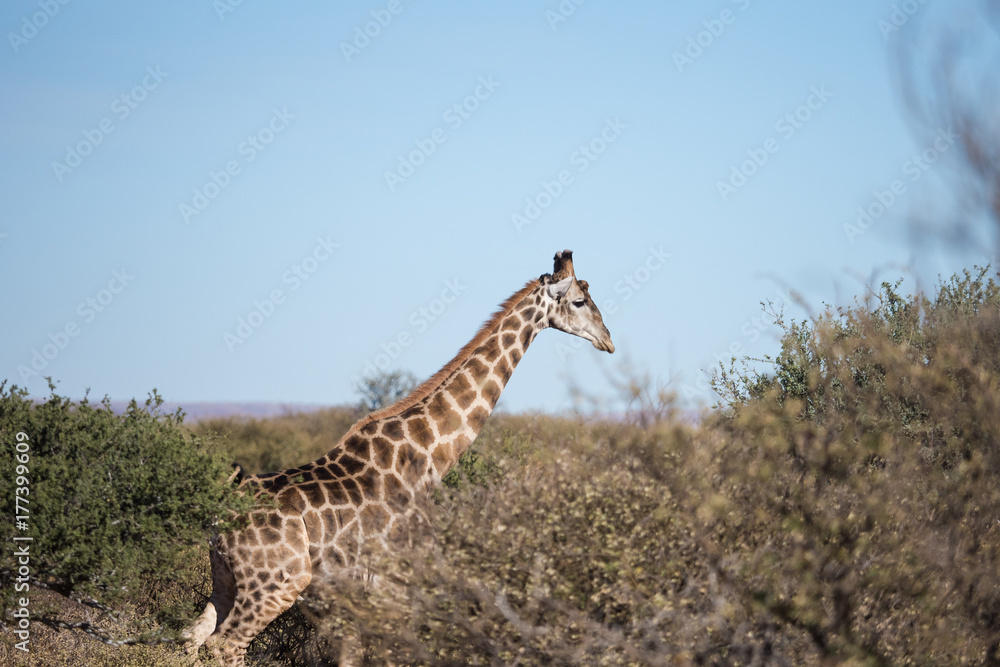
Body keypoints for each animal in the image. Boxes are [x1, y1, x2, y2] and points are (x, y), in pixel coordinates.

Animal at [182, 250, 614, 666]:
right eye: (580, 300)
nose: (608, 340)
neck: (428, 457)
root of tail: (221, 515)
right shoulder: (395, 588)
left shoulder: (360, 597)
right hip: (278, 583)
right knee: (225, 644)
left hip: (226, 580)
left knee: (191, 636)